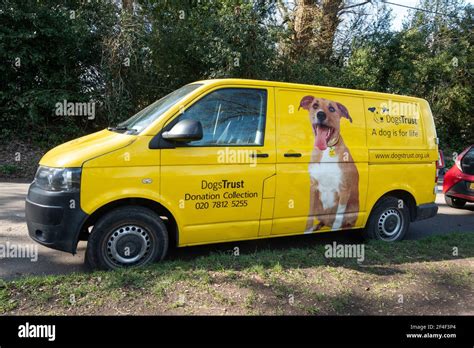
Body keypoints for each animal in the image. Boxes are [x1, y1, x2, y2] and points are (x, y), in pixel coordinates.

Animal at [300, 96, 360, 231]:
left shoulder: (344, 190)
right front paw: (308, 229)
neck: (327, 149)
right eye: (315, 106)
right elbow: (309, 217)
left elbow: (338, 219)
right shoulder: (313, 187)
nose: (320, 114)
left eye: (332, 109)